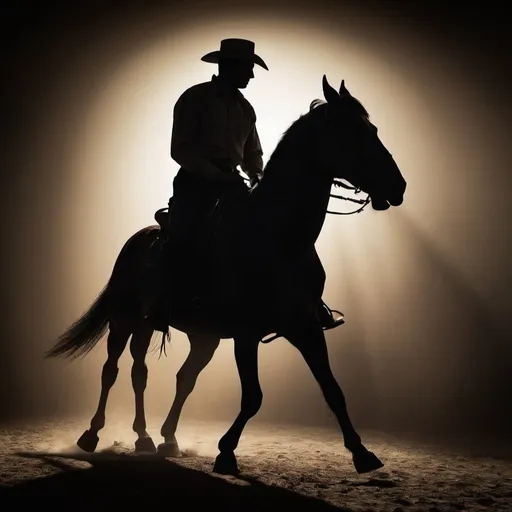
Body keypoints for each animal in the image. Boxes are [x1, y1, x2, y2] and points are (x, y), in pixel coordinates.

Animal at [45, 77, 404, 476]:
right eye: (352, 132)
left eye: (372, 130)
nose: (398, 186)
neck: (280, 239)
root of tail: (137, 241)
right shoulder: (246, 333)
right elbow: (253, 398)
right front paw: (226, 451)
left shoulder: (306, 328)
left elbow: (333, 389)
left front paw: (362, 452)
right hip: (124, 319)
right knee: (113, 370)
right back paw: (93, 434)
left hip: (194, 335)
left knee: (163, 376)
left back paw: (155, 438)